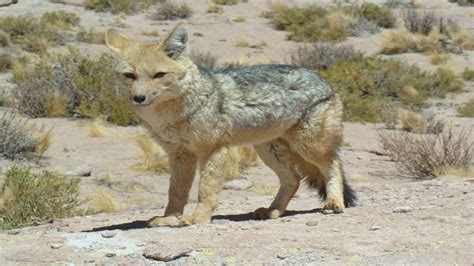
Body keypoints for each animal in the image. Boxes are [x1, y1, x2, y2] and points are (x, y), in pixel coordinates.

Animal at [104, 22, 356, 227]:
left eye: (159, 75)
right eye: (129, 76)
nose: (138, 98)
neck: (169, 115)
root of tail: (323, 80)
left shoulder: (212, 150)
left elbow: (206, 190)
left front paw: (198, 218)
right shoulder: (179, 155)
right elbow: (176, 192)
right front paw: (170, 218)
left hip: (309, 146)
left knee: (332, 165)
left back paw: (334, 203)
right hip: (268, 150)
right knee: (293, 179)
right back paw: (274, 211)